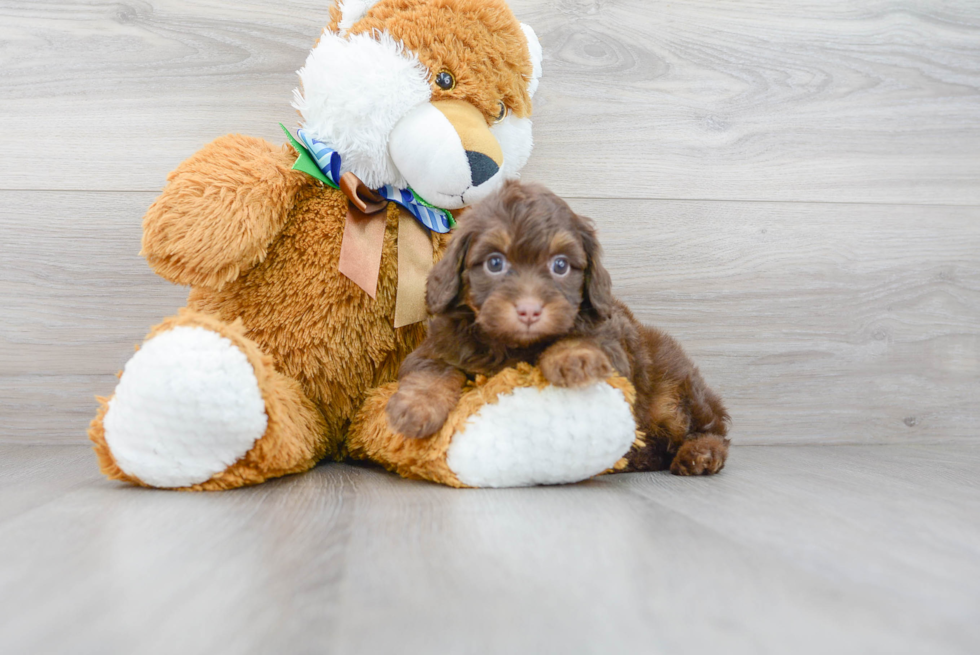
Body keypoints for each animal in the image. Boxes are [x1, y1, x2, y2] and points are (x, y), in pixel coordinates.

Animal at [386, 181, 732, 476]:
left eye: (561, 265)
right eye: (495, 263)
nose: (529, 310)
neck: (513, 345)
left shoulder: (615, 352)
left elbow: (585, 342)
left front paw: (573, 357)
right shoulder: (435, 348)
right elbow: (434, 370)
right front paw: (416, 407)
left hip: (673, 392)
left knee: (710, 428)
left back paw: (700, 453)